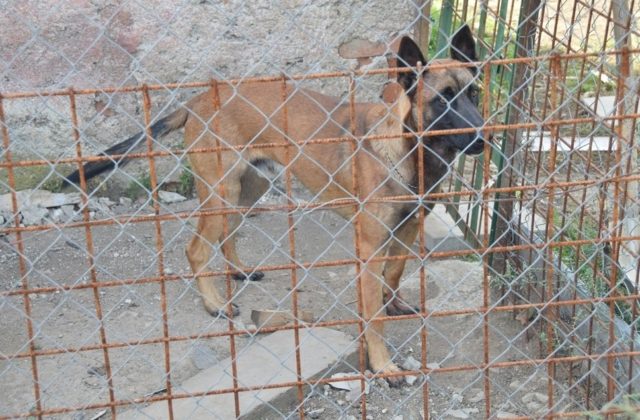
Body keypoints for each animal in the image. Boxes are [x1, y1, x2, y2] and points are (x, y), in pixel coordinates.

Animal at [66, 23, 484, 384]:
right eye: (442, 100)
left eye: (474, 93)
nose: (484, 138)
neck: (409, 149)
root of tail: (199, 98)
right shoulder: (368, 247)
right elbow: (373, 319)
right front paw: (383, 365)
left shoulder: (409, 225)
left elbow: (395, 271)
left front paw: (392, 301)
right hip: (221, 192)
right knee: (196, 249)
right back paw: (215, 304)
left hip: (247, 188)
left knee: (226, 236)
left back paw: (239, 271)